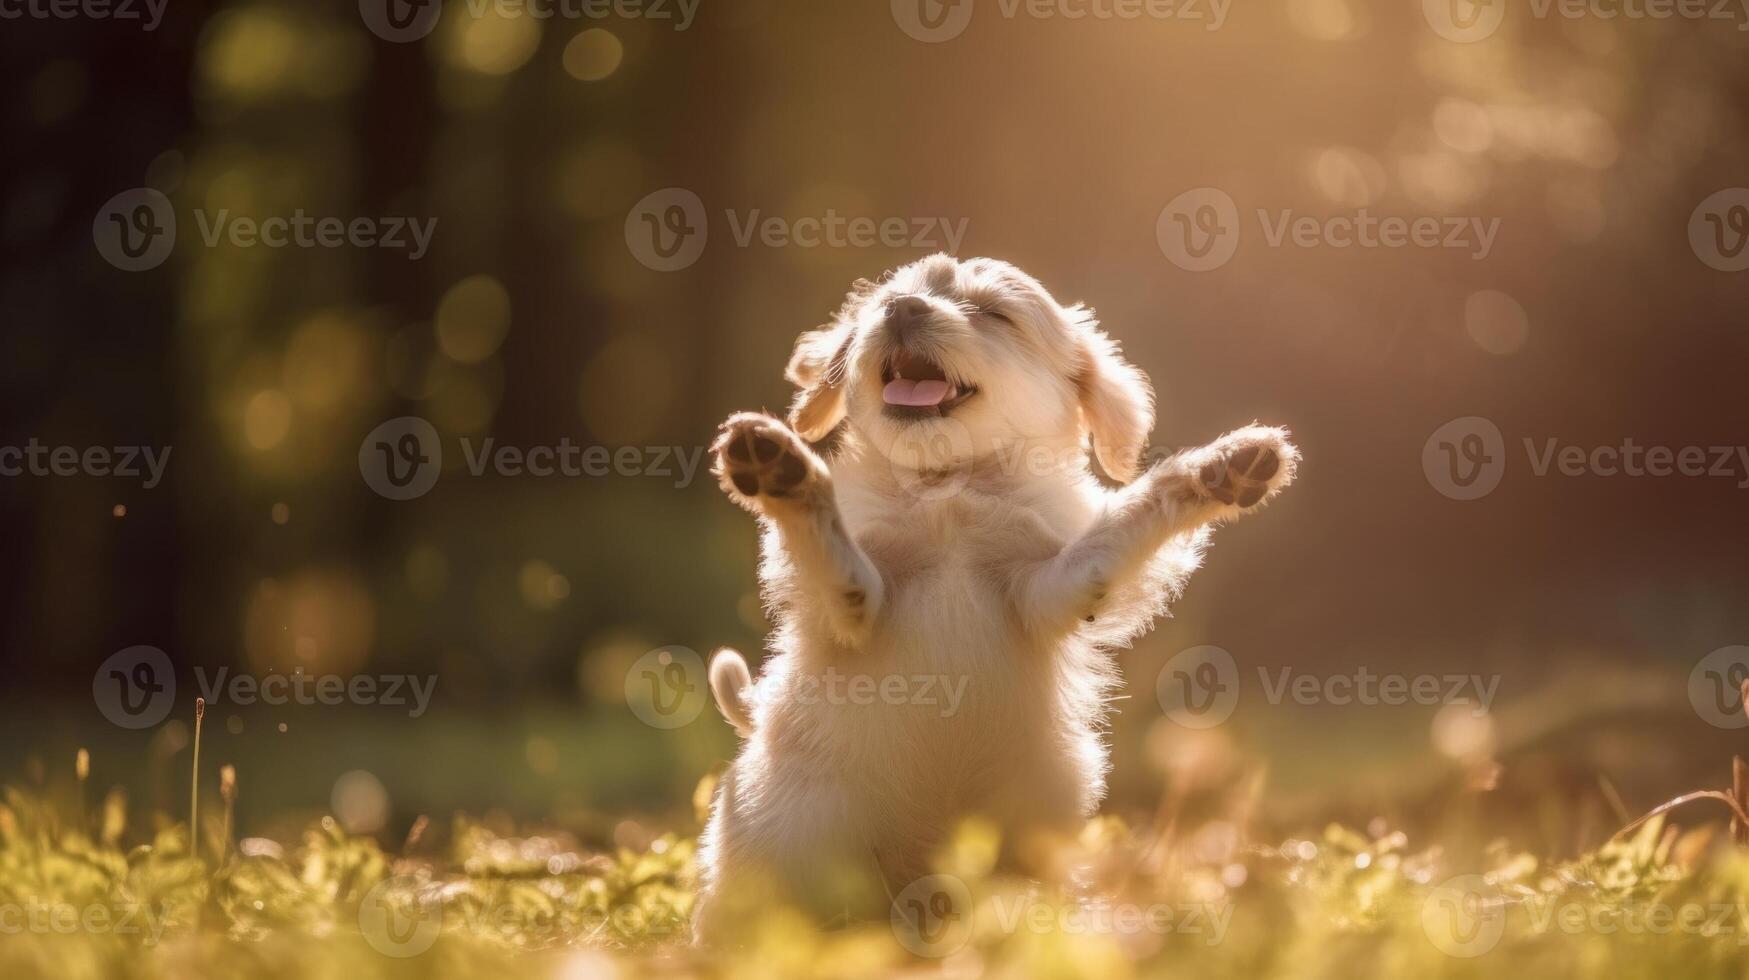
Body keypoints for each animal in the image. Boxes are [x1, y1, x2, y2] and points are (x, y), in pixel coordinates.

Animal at [689, 253, 1294, 945]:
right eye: (892, 299)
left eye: (993, 314)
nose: (901, 310)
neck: (947, 488)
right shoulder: (851, 607)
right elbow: (830, 548)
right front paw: (782, 473)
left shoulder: (1054, 588)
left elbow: (1130, 517)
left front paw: (1220, 470)